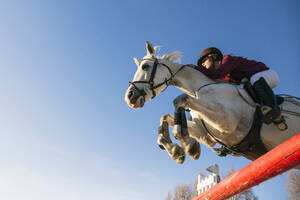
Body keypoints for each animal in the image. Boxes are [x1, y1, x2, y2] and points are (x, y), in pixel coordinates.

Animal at [124, 41, 300, 166]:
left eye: (145, 66)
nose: (129, 97)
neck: (197, 89)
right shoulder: (207, 134)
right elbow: (165, 118)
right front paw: (176, 151)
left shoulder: (228, 121)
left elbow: (179, 100)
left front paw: (189, 147)